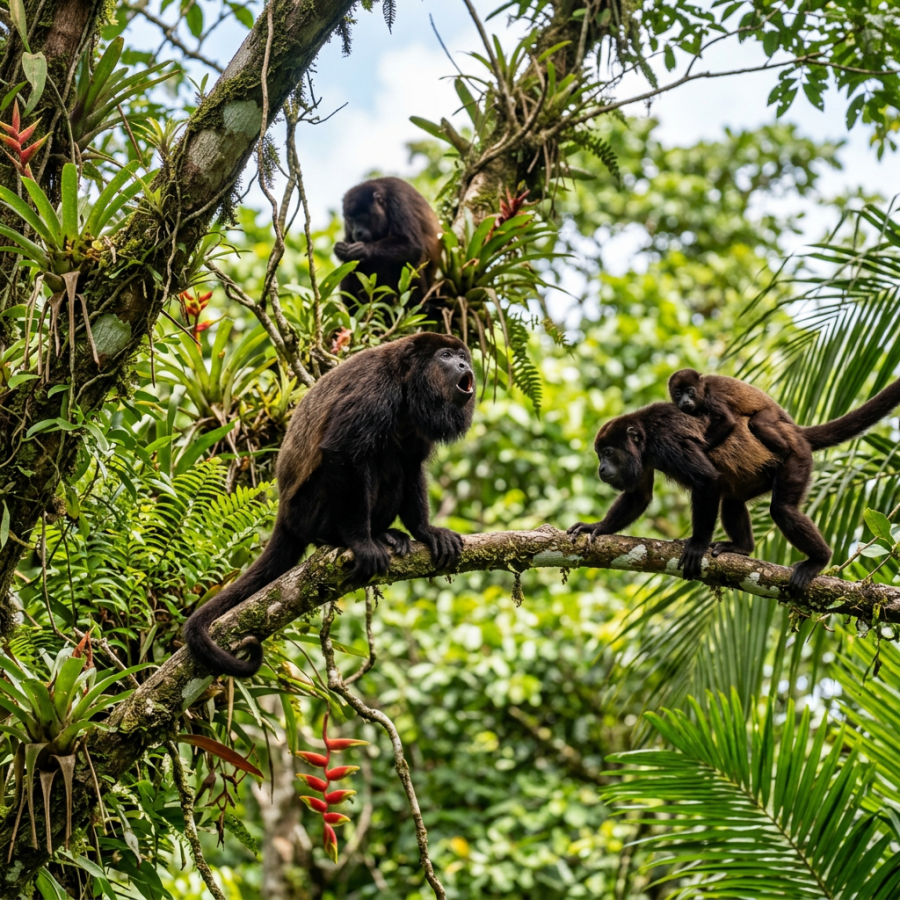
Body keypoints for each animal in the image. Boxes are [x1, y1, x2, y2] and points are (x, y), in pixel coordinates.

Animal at [183, 333, 476, 678]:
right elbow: (344, 451)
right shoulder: (374, 391)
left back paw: (388, 534)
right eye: (445, 356)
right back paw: (346, 538)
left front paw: (426, 531)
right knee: (369, 460)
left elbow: (412, 463)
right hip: (309, 510)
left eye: (463, 356)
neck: (407, 386)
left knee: (394, 461)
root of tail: (285, 516)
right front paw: (362, 544)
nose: (465, 365)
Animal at [334, 177, 442, 317]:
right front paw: (340, 249)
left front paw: (363, 250)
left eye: (362, 217)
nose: (357, 232)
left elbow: (413, 245)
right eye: (350, 220)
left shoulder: (398, 201)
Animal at [668, 368, 800, 455]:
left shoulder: (712, 396)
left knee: (757, 423)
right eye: (678, 394)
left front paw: (699, 448)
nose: (685, 401)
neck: (703, 390)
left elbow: (727, 420)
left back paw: (785, 450)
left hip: (771, 412)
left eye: (690, 391)